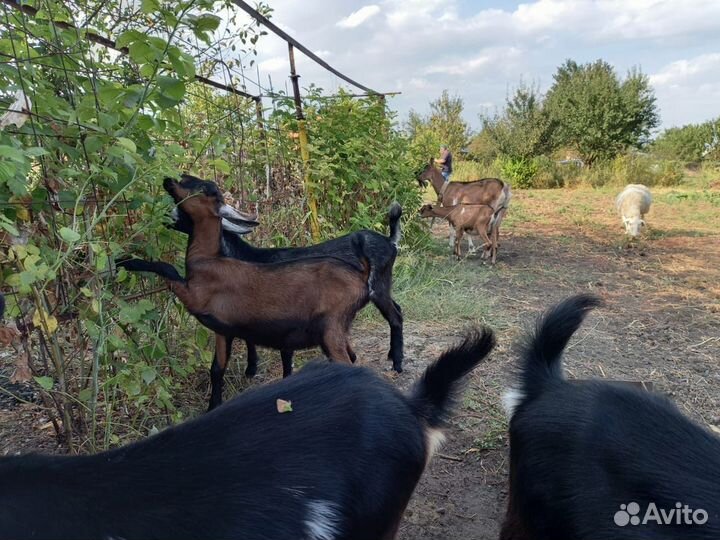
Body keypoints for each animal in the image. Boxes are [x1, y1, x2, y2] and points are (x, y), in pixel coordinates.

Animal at [118, 176, 373, 410]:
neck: (208, 259)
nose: (168, 179)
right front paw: (214, 405)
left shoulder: (195, 296)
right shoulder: (224, 330)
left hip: (330, 328)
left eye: (202, 189)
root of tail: (361, 278)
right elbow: (217, 369)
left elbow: (167, 268)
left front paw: (126, 261)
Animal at [169, 181, 403, 380]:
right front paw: (251, 369)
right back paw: (391, 356)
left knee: (395, 316)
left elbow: (282, 352)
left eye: (185, 212)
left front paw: (255, 370)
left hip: (377, 286)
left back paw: (398, 363)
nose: (168, 216)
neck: (246, 255)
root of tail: (390, 240)